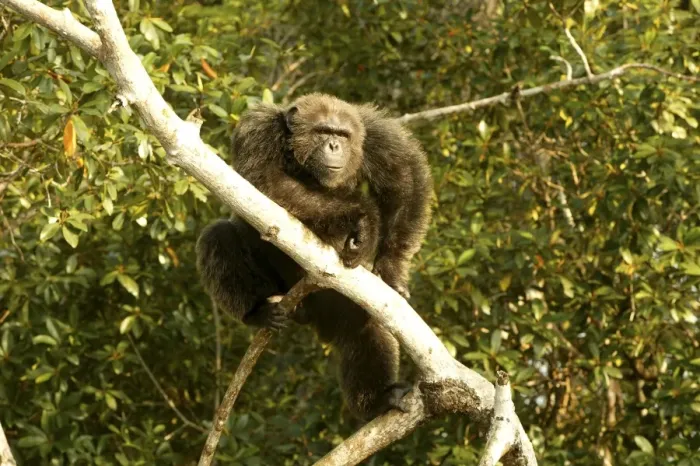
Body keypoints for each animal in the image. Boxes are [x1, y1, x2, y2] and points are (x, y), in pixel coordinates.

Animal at [196, 93, 432, 420]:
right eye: (322, 131)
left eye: (342, 135)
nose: (334, 146)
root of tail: (307, 313)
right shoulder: (256, 131)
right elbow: (266, 181)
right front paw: (363, 215)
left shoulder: (377, 135)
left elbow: (404, 178)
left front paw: (392, 268)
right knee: (217, 237)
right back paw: (258, 311)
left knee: (363, 325)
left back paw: (379, 399)